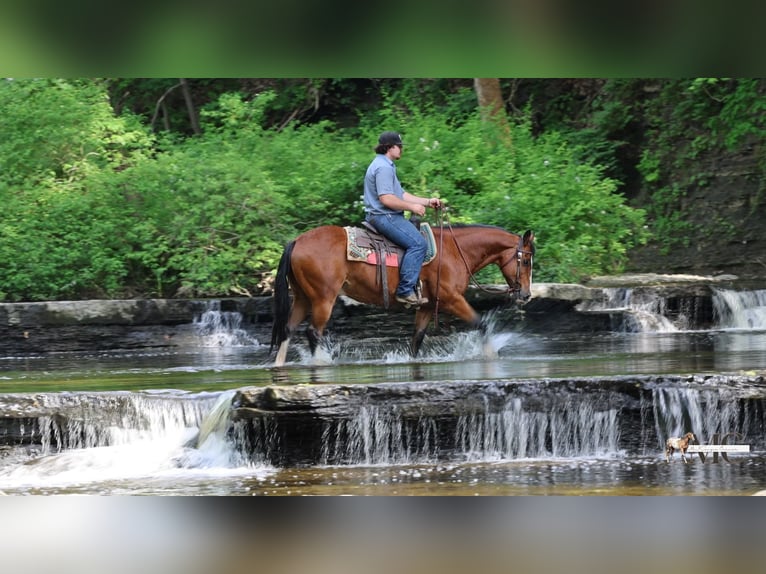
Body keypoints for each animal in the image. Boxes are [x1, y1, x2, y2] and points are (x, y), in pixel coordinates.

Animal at [270, 223, 535, 366]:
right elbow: (480, 324)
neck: (454, 251)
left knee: (288, 329)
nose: (526, 295)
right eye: (527, 260)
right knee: (313, 331)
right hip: (323, 298)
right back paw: (320, 363)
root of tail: (297, 241)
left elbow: (417, 338)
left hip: (303, 297)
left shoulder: (427, 306)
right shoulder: (451, 300)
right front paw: (491, 354)